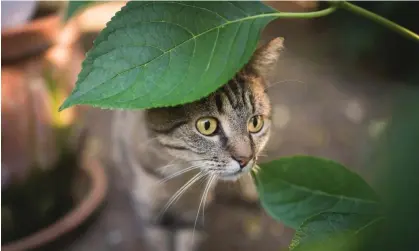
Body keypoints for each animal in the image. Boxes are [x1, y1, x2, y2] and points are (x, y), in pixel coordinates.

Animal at [110, 37, 286, 251]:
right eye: (207, 125)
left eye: (255, 122)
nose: (245, 159)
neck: (177, 174)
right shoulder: (152, 217)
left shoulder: (192, 218)